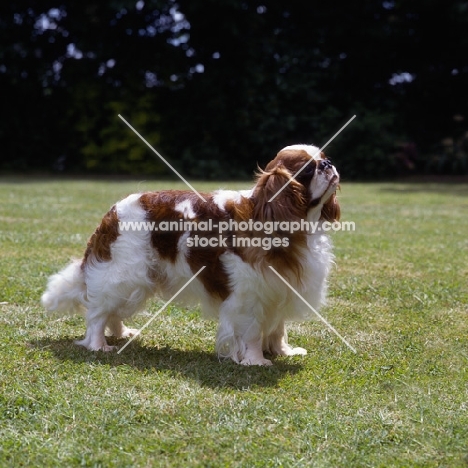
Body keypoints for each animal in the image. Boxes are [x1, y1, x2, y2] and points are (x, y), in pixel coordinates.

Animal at [41, 144, 340, 366]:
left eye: (325, 158)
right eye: (308, 169)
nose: (328, 164)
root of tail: (111, 213)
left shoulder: (278, 289)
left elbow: (278, 328)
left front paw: (282, 351)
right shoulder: (250, 294)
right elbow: (253, 331)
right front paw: (256, 361)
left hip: (139, 280)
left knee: (112, 311)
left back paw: (122, 333)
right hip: (123, 274)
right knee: (97, 313)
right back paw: (98, 345)